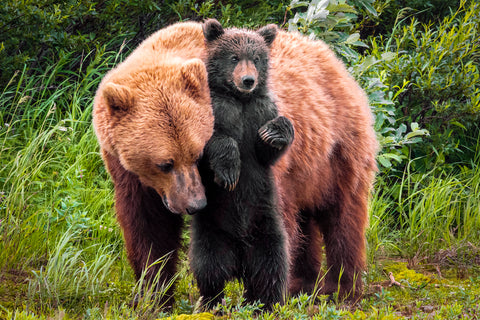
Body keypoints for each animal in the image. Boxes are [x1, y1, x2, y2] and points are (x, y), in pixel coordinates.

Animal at [93, 20, 378, 304]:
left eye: (197, 155)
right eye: (165, 164)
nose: (195, 204)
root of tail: (334, 60)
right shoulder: (130, 176)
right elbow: (149, 229)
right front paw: (154, 295)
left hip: (338, 153)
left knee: (342, 217)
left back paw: (341, 288)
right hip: (305, 174)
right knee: (304, 221)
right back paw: (302, 284)